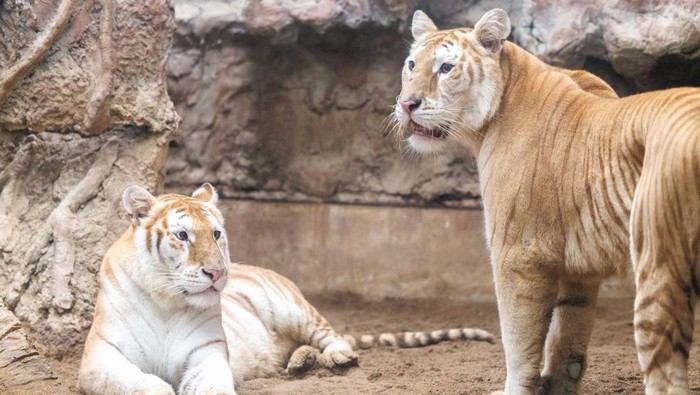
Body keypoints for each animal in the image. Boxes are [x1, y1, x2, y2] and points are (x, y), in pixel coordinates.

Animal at [79, 184, 494, 394]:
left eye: (216, 234)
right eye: (182, 236)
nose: (217, 272)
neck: (167, 301)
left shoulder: (207, 353)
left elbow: (211, 386)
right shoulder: (101, 357)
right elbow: (138, 383)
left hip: (291, 308)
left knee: (331, 335)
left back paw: (333, 358)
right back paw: (300, 362)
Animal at [392, 7, 700, 395]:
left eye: (446, 68)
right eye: (411, 64)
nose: (406, 104)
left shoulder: (518, 253)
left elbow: (518, 338)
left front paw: (515, 388)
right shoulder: (579, 270)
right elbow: (567, 332)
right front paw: (556, 384)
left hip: (660, 269)